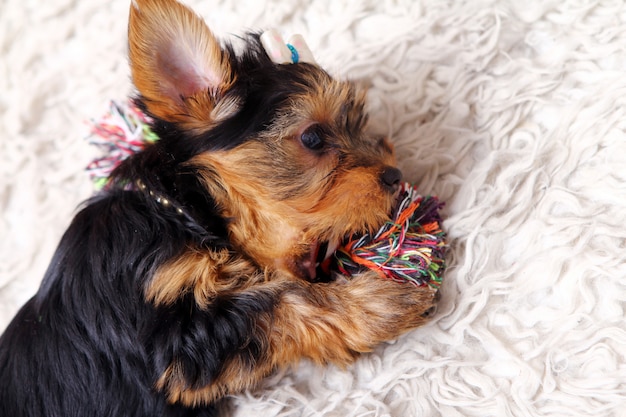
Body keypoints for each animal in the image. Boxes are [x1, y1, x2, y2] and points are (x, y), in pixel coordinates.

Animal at [0, 0, 438, 412]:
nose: (394, 175)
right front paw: (385, 302)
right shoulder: (170, 338)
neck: (185, 215)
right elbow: (280, 300)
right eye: (313, 138)